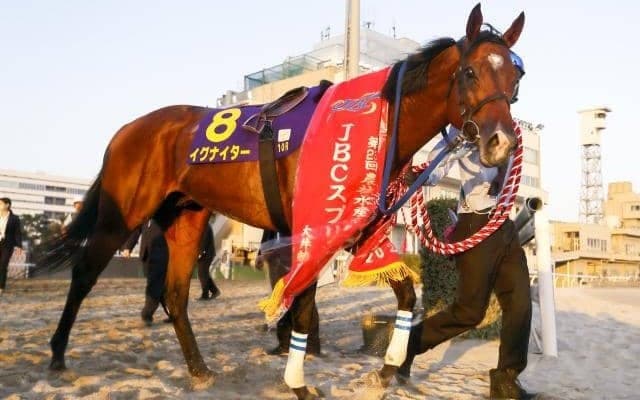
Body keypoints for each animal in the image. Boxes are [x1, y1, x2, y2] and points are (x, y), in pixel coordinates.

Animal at [40, 4, 524, 399]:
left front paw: (387, 369)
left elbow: (406, 293)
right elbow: (304, 309)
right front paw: (299, 383)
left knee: (175, 295)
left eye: (515, 79)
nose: (501, 142)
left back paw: (198, 369)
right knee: (84, 275)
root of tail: (129, 129)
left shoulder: (360, 228)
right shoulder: (312, 226)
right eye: (470, 72)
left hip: (186, 216)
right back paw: (58, 356)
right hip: (121, 215)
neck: (372, 122)